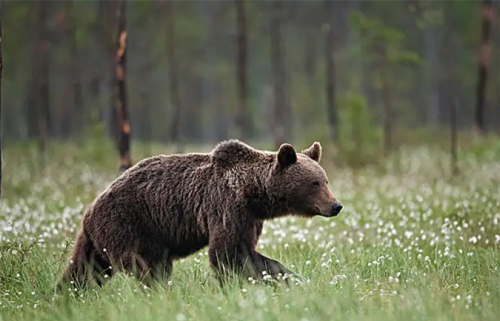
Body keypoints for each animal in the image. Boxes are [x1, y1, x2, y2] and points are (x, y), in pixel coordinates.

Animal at [57, 139, 340, 288]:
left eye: (325, 180)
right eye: (315, 183)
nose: (336, 205)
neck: (254, 193)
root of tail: (90, 210)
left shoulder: (250, 218)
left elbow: (246, 251)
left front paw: (288, 278)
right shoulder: (227, 206)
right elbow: (229, 253)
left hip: (99, 241)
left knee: (84, 271)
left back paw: (64, 296)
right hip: (129, 225)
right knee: (146, 268)